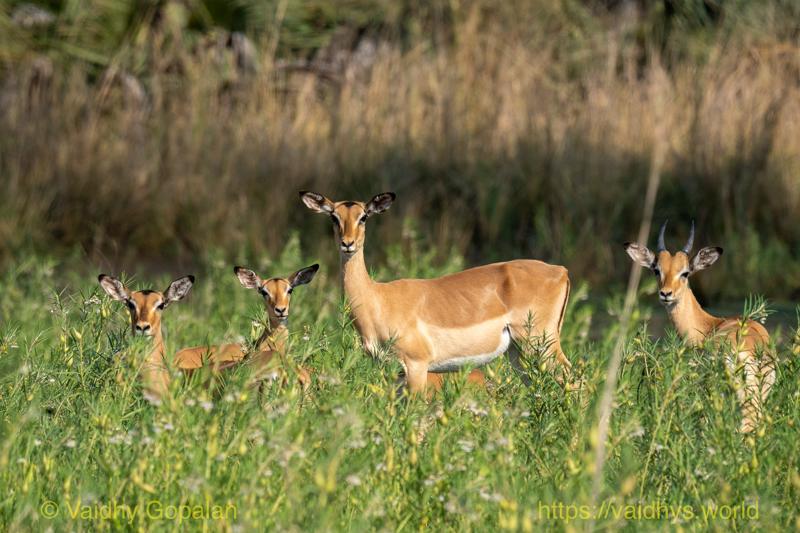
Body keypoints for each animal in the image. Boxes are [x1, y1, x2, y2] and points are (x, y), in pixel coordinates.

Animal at [300, 191, 575, 393]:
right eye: (334, 217)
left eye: (364, 216)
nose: (347, 243)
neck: (377, 299)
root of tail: (561, 271)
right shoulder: (393, 371)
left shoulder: (416, 366)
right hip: (520, 356)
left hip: (540, 346)